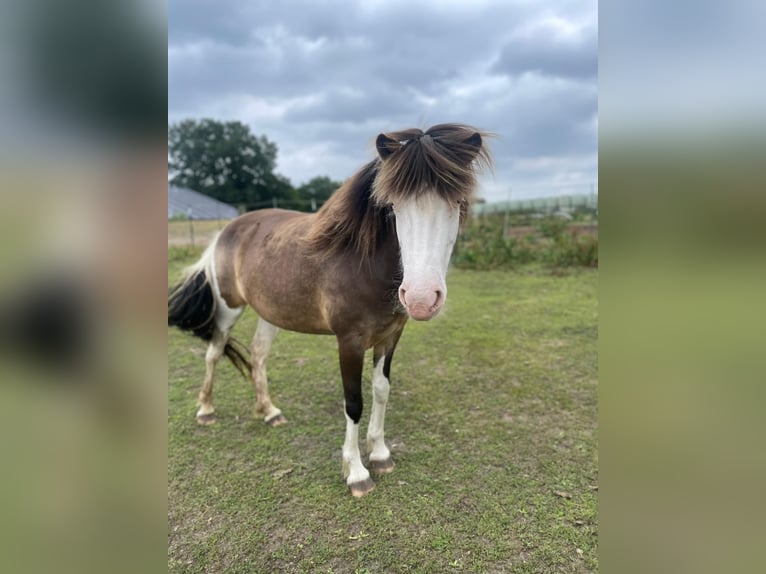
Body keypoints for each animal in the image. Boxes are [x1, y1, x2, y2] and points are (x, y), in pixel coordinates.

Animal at [168, 123, 492, 496]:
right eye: (393, 207)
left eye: (458, 202)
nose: (422, 298)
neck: (362, 262)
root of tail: (228, 230)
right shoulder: (348, 341)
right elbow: (353, 402)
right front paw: (357, 472)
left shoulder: (391, 336)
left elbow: (381, 391)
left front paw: (380, 454)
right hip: (229, 308)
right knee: (214, 352)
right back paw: (206, 410)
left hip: (269, 312)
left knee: (258, 354)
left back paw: (269, 411)